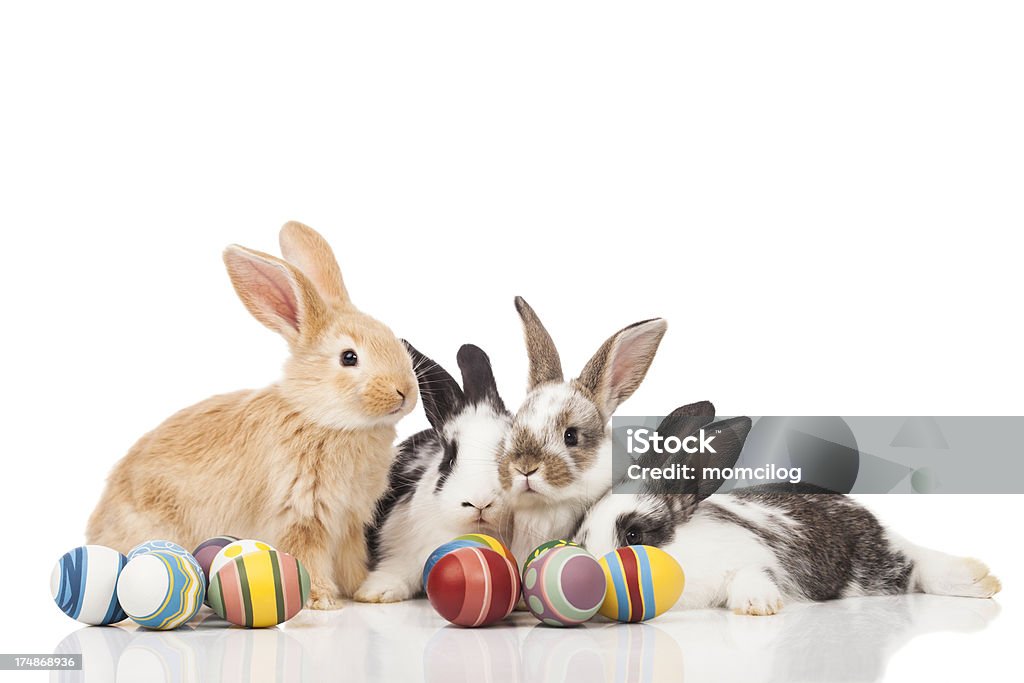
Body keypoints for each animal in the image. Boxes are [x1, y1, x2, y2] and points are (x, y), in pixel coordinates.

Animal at [86, 220, 417, 610]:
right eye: (349, 357)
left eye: (393, 338)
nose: (406, 392)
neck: (322, 417)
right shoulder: (301, 516)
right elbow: (309, 556)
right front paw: (323, 601)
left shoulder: (349, 522)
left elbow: (350, 558)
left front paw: (359, 590)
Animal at [577, 403, 999, 618]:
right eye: (580, 533)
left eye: (634, 534)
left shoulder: (752, 556)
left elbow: (751, 575)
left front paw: (758, 606)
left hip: (874, 568)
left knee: (919, 565)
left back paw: (981, 580)